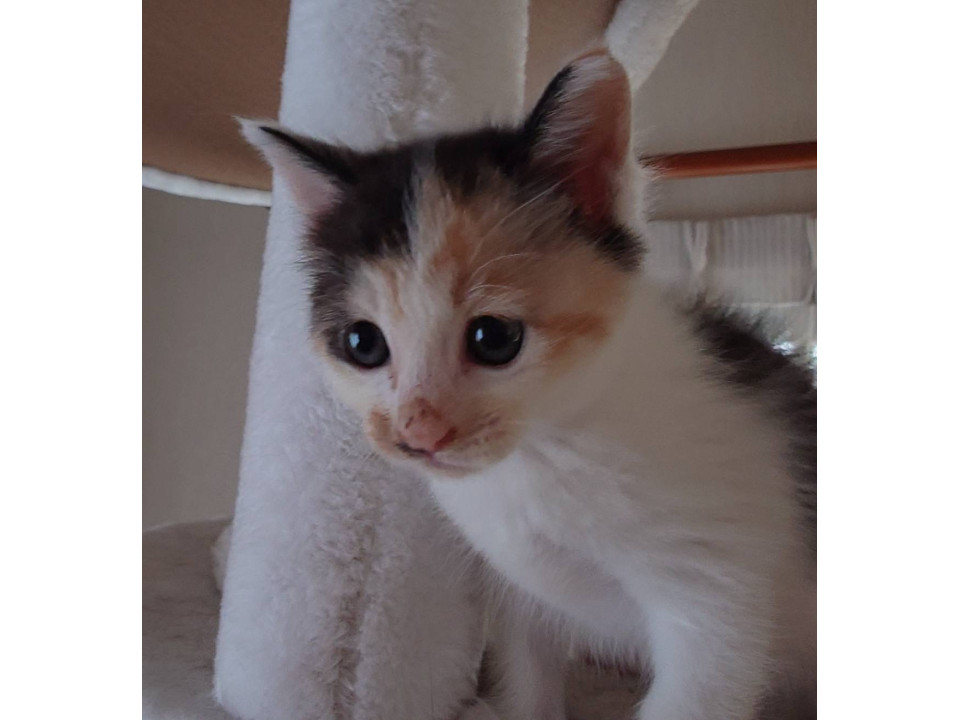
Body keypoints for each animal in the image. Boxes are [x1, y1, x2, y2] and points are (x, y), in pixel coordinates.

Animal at [241, 48, 816, 720]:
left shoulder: (717, 590)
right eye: (363, 345)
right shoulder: (518, 590)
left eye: (494, 338)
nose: (418, 433)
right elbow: (527, 671)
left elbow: (696, 690)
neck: (546, 452)